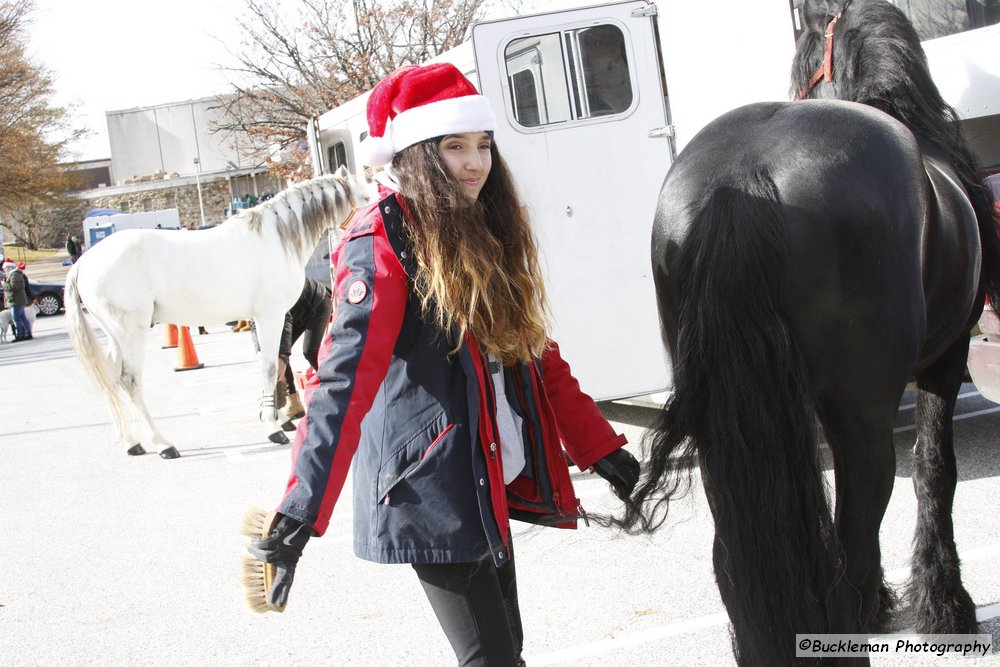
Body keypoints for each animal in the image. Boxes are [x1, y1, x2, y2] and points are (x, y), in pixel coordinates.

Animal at [66, 170, 372, 460]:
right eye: (367, 197)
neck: (277, 239)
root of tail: (84, 262)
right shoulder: (270, 315)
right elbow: (270, 367)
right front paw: (273, 428)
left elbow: (273, 366)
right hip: (131, 332)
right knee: (130, 381)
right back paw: (163, 444)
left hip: (115, 335)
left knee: (111, 377)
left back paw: (132, 443)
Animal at [624, 2, 1000, 664]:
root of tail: (743, 178)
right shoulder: (946, 359)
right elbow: (936, 471)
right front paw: (946, 607)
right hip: (864, 421)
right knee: (853, 550)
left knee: (738, 564)